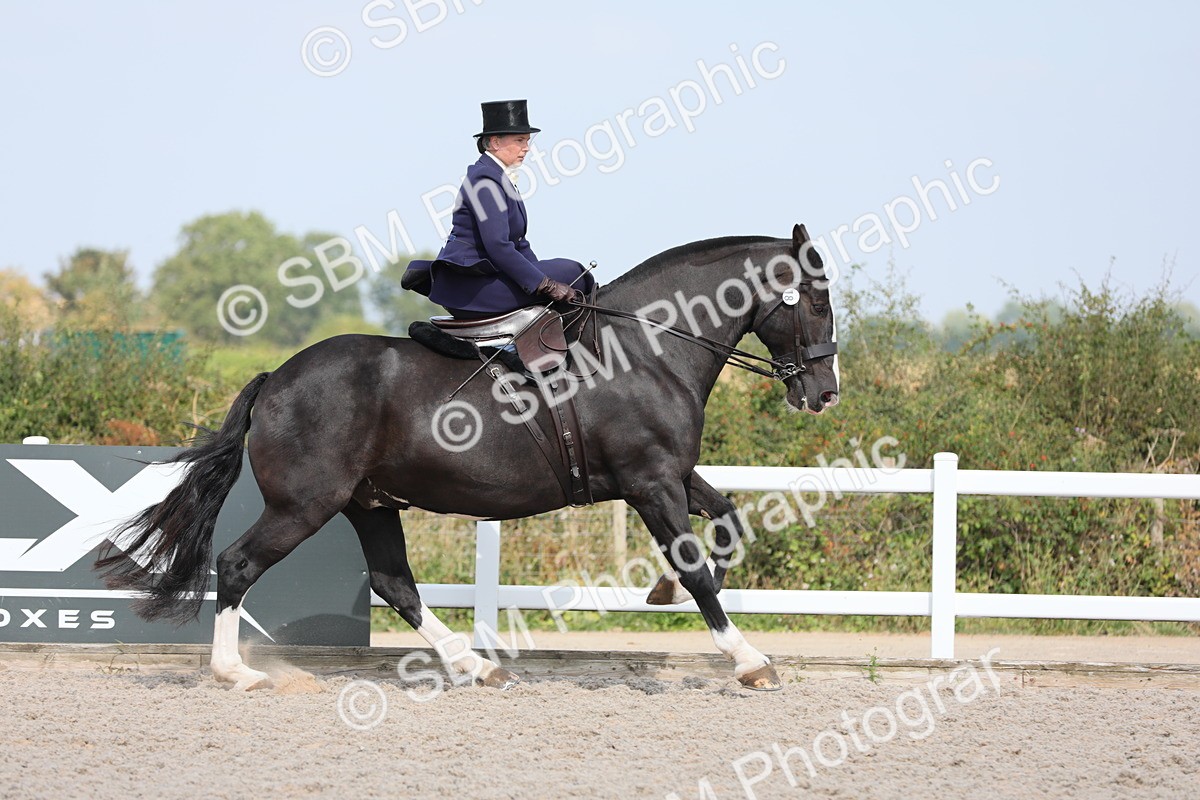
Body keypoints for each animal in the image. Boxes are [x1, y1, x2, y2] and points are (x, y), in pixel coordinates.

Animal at [97, 223, 840, 692]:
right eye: (819, 299)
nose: (824, 393)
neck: (647, 348)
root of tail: (277, 376)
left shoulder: (673, 475)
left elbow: (729, 521)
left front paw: (662, 591)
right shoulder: (651, 482)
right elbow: (699, 572)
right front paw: (748, 660)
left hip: (368, 503)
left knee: (395, 584)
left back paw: (476, 665)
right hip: (306, 504)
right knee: (237, 565)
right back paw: (238, 673)